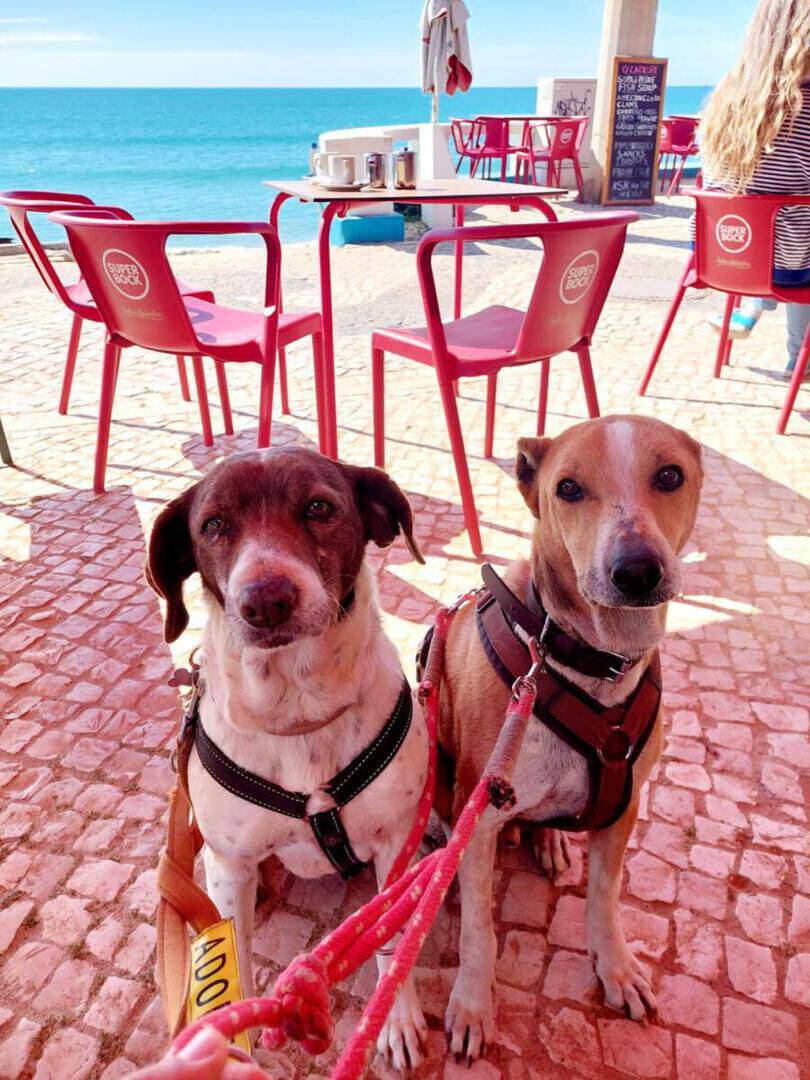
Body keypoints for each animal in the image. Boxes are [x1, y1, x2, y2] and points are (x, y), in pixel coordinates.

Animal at [146, 447, 430, 1071]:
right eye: (213, 525)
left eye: (320, 507)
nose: (265, 599)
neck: (298, 711)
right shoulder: (230, 866)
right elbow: (235, 966)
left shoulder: (396, 843)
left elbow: (391, 936)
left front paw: (395, 1016)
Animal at [435, 415, 703, 1062]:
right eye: (569, 489)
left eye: (670, 476)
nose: (637, 570)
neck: (585, 662)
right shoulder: (477, 818)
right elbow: (479, 929)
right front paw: (472, 1001)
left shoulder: (623, 809)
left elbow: (604, 900)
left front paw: (617, 967)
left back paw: (549, 839)